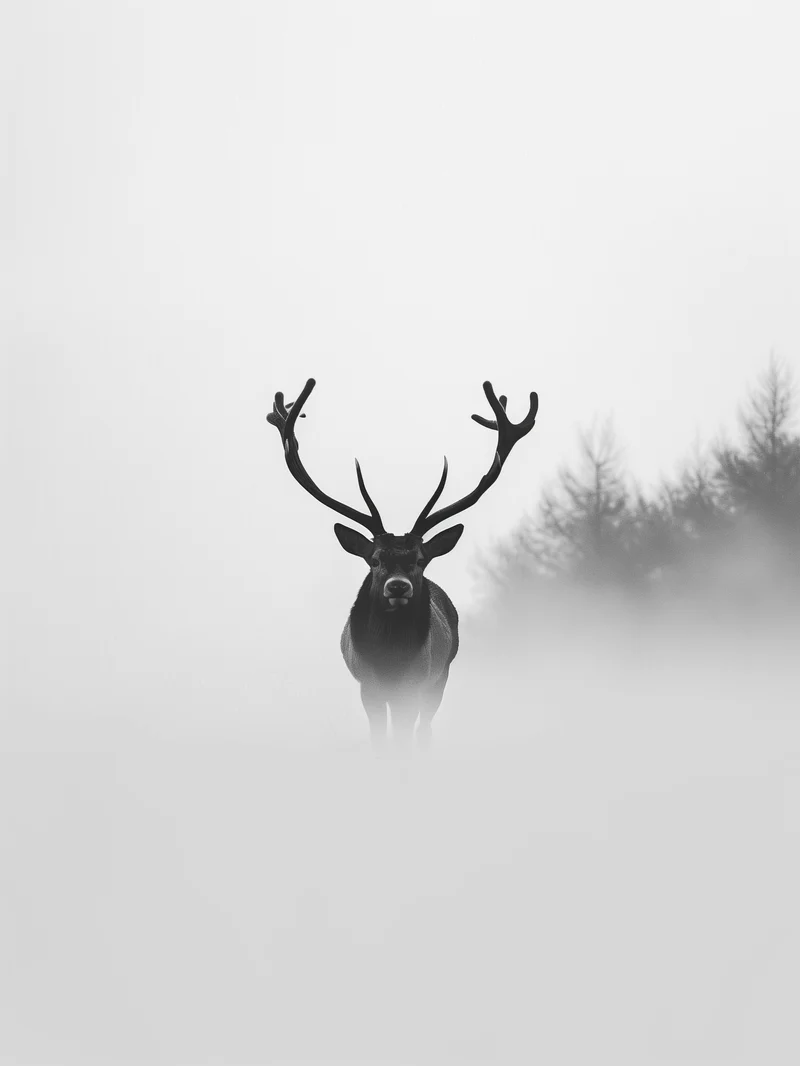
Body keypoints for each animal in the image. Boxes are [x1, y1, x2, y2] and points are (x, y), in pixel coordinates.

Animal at [267, 378, 538, 749]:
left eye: (421, 560)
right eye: (375, 559)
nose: (398, 586)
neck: (390, 660)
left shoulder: (418, 681)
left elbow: (405, 736)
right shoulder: (367, 686)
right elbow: (381, 739)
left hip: (440, 676)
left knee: (425, 728)